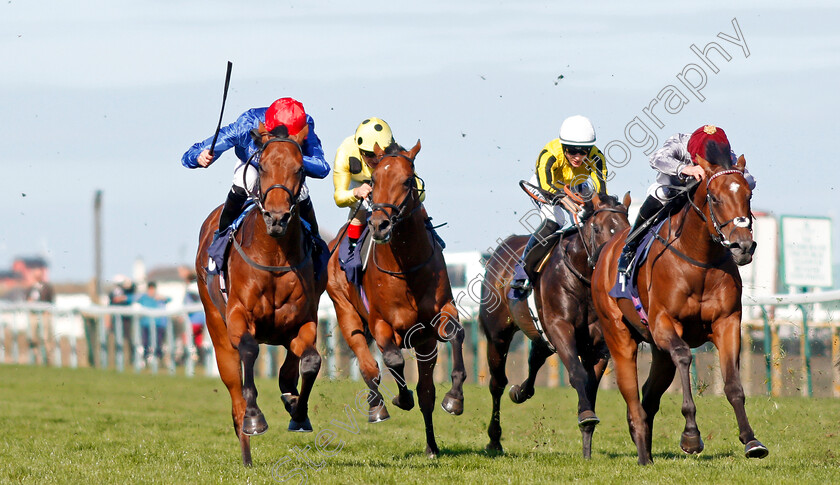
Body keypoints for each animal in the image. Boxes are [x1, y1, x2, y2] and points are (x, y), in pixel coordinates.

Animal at [195, 121, 326, 466]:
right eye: (263, 165)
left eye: (299, 169)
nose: (277, 218)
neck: (275, 256)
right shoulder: (239, 316)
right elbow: (250, 351)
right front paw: (255, 417)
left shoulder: (303, 320)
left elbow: (310, 360)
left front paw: (299, 412)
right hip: (217, 332)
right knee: (235, 395)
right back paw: (246, 448)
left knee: (290, 367)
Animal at [324, 140, 466, 458]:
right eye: (374, 181)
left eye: (408, 180)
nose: (380, 224)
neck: (406, 266)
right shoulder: (380, 323)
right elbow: (391, 359)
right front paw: (401, 398)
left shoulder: (436, 321)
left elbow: (455, 334)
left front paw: (454, 398)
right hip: (345, 311)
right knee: (369, 366)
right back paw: (377, 407)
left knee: (426, 393)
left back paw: (431, 446)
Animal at [480, 189, 632, 458]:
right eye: (597, 229)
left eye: (628, 227)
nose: (613, 264)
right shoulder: (561, 329)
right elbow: (577, 374)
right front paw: (586, 417)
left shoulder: (599, 344)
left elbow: (591, 385)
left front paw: (587, 442)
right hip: (498, 335)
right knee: (497, 383)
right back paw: (494, 440)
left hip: (540, 334)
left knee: (535, 360)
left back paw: (520, 392)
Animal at [592, 153, 768, 464]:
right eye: (714, 197)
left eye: (748, 195)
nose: (743, 246)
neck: (699, 260)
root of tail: (605, 252)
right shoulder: (664, 323)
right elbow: (685, 356)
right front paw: (691, 436)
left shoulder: (727, 322)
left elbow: (733, 384)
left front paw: (751, 440)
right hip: (619, 334)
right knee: (633, 396)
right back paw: (643, 455)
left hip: (659, 352)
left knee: (649, 396)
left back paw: (647, 449)